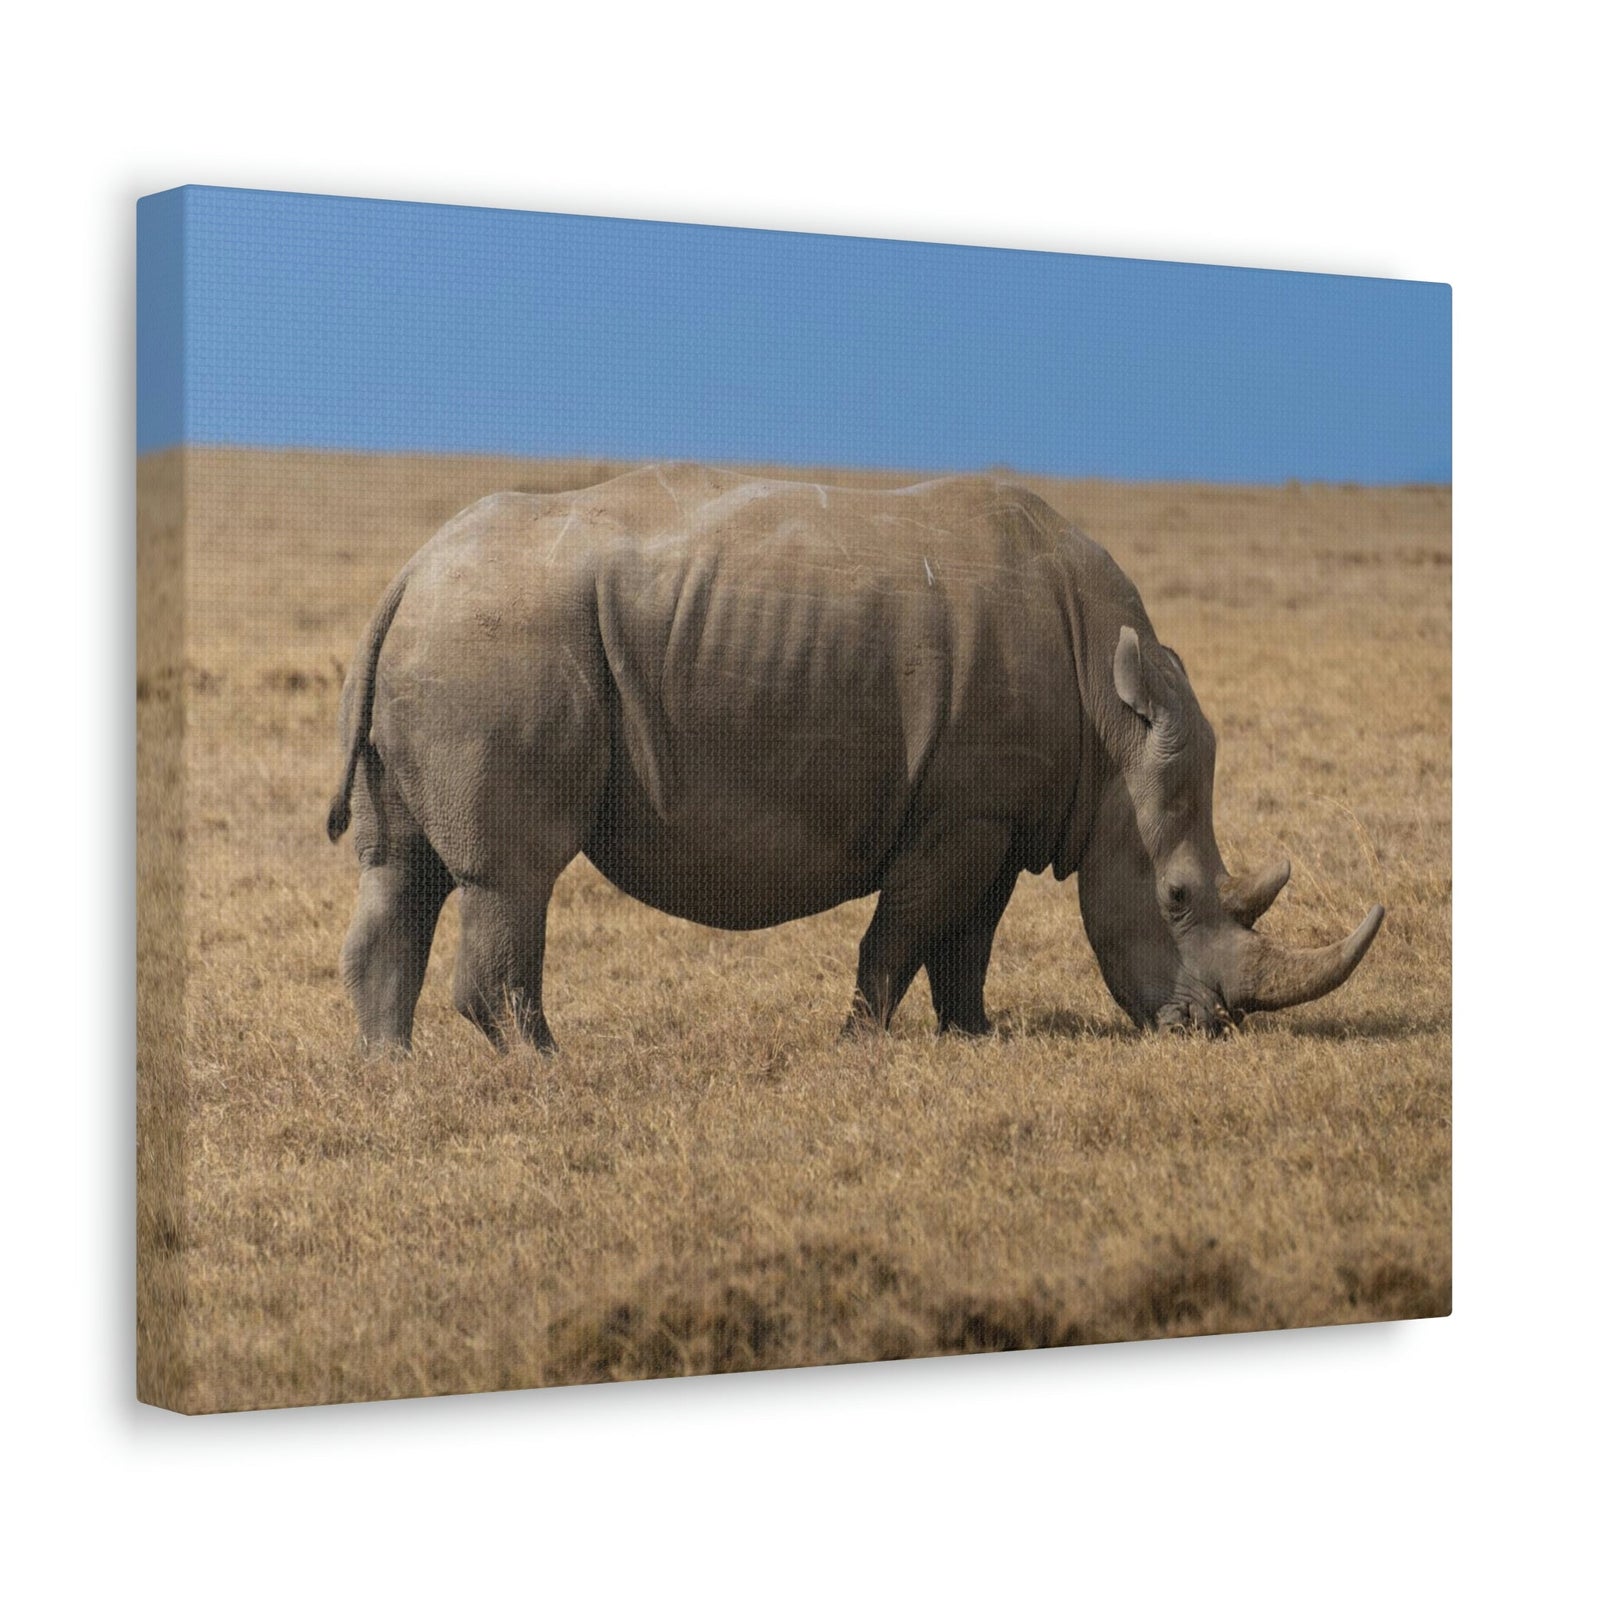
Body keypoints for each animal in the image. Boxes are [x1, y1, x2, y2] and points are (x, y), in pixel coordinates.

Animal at [328, 463, 1383, 1052]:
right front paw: (861, 1043)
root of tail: (409, 570)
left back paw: (392, 1074)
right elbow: (901, 934)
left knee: (402, 870)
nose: (1211, 1029)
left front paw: (975, 1039)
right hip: (495, 645)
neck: (1110, 722)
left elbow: (967, 941)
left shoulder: (999, 816)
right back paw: (546, 1066)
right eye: (1177, 898)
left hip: (448, 641)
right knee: (513, 874)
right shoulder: (961, 814)